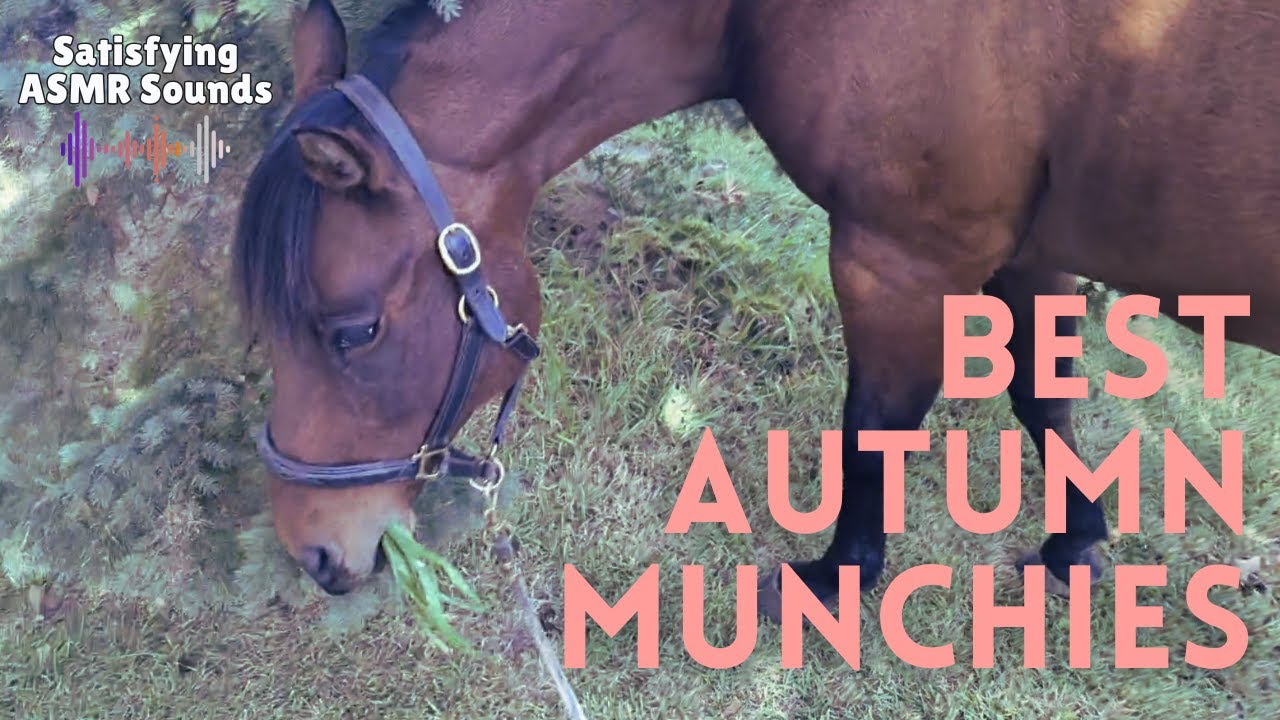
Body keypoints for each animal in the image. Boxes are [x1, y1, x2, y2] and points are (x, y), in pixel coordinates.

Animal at [234, 0, 1280, 611]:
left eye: (353, 331)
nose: (311, 553)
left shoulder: (899, 257)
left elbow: (874, 427)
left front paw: (837, 581)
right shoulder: (1027, 253)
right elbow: (1044, 399)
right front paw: (1075, 546)